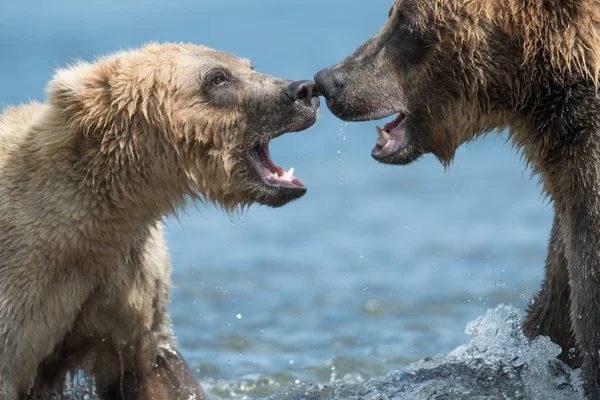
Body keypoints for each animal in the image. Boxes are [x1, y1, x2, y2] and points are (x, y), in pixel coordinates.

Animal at [0, 42, 322, 398]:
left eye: (249, 66)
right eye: (217, 77)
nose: (303, 90)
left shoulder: (129, 277)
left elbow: (155, 367)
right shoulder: (27, 279)